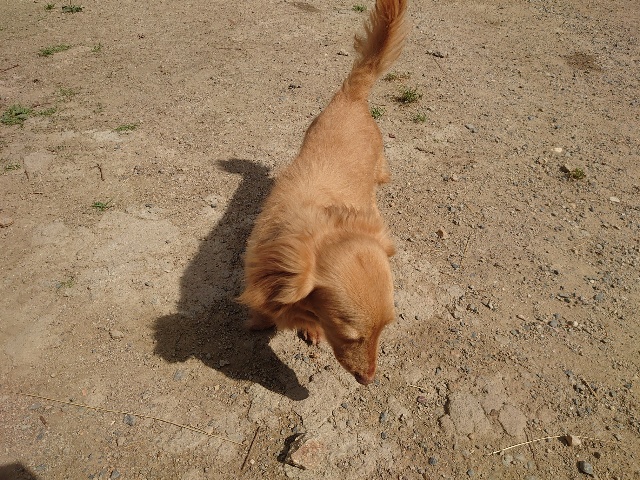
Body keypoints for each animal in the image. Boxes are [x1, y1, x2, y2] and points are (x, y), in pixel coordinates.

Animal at [238, 0, 408, 385]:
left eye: (386, 327)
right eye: (350, 335)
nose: (369, 380)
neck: (321, 225)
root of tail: (352, 94)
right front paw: (259, 321)